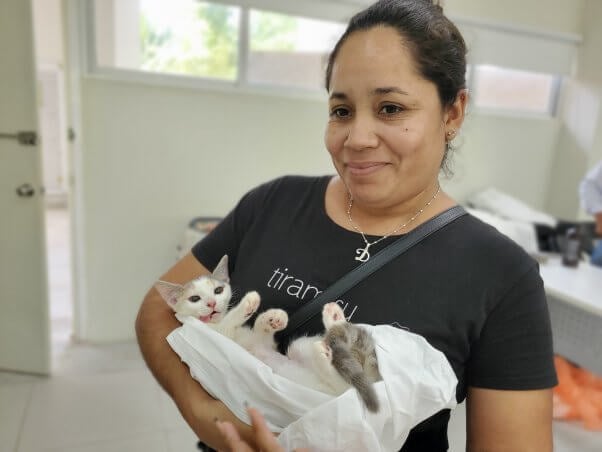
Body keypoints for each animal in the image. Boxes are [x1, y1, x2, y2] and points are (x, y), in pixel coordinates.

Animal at [155, 254, 380, 414]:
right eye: (194, 298)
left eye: (218, 290)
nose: (211, 303)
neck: (215, 324)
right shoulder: (217, 334)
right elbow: (229, 323)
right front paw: (248, 304)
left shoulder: (260, 343)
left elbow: (261, 335)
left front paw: (272, 318)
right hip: (321, 381)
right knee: (341, 385)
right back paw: (324, 351)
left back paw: (335, 321)